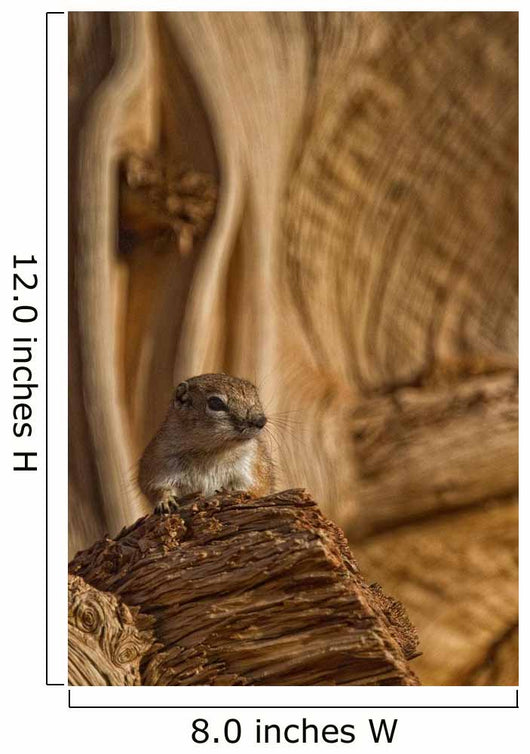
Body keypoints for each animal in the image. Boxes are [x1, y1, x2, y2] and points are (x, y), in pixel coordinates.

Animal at [138, 373, 274, 513]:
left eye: (256, 394)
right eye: (216, 403)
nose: (261, 421)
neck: (212, 450)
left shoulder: (253, 465)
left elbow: (256, 488)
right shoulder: (159, 462)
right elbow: (155, 487)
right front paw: (165, 501)